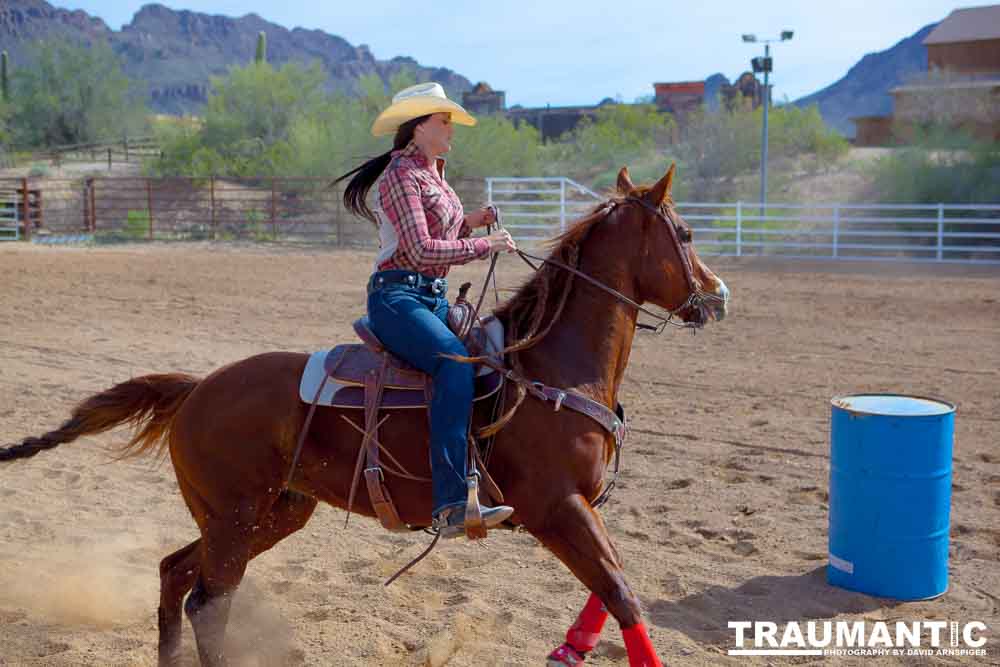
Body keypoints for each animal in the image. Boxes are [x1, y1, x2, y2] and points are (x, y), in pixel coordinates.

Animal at [3, 164, 732, 664]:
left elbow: (610, 589)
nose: (718, 295)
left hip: (266, 513)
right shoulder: (557, 508)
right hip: (236, 519)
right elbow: (620, 590)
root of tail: (197, 386)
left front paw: (570, 648)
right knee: (207, 600)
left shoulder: (579, 506)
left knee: (174, 573)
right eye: (687, 231)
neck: (549, 367)